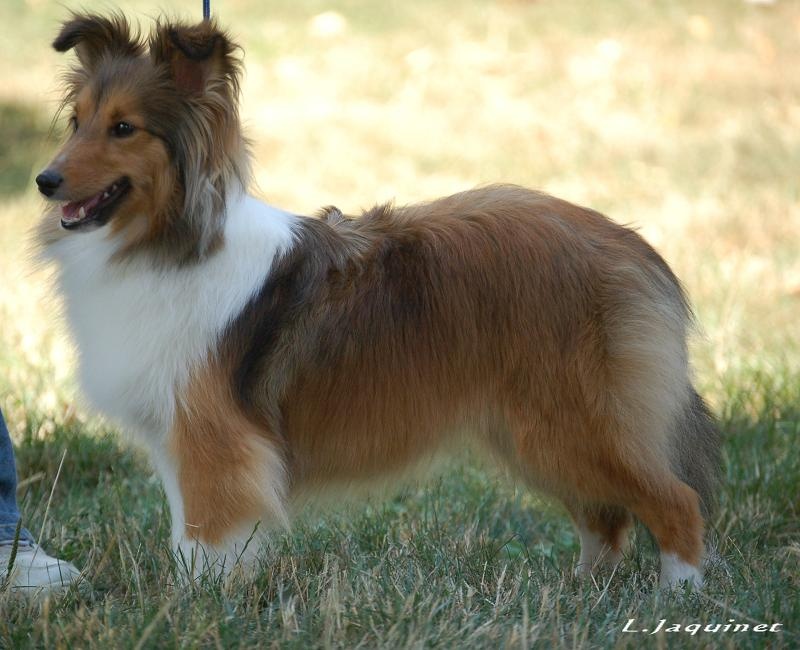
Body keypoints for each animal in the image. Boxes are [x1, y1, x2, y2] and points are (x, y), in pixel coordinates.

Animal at [34, 12, 720, 584]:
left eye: (124, 128)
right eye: (78, 121)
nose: (44, 180)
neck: (167, 244)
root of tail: (631, 246)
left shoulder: (214, 440)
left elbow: (205, 541)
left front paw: (197, 607)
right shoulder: (180, 438)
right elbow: (186, 536)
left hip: (574, 421)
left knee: (676, 502)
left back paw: (677, 597)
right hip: (535, 433)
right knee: (606, 517)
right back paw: (584, 590)